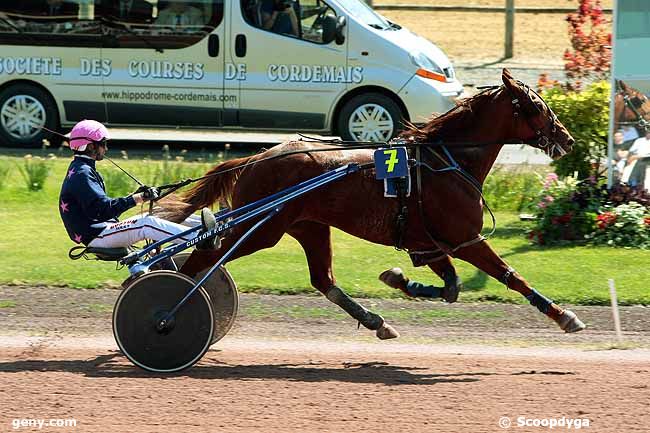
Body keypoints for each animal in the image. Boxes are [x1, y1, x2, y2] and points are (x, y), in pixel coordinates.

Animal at [161, 68, 584, 338]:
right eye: (538, 106)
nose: (567, 138)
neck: (444, 161)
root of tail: (255, 157)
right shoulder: (466, 240)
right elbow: (512, 276)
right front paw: (565, 316)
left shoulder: (429, 245)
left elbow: (450, 288)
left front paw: (397, 279)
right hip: (261, 228)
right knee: (204, 257)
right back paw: (168, 311)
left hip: (308, 226)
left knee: (324, 280)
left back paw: (375, 322)